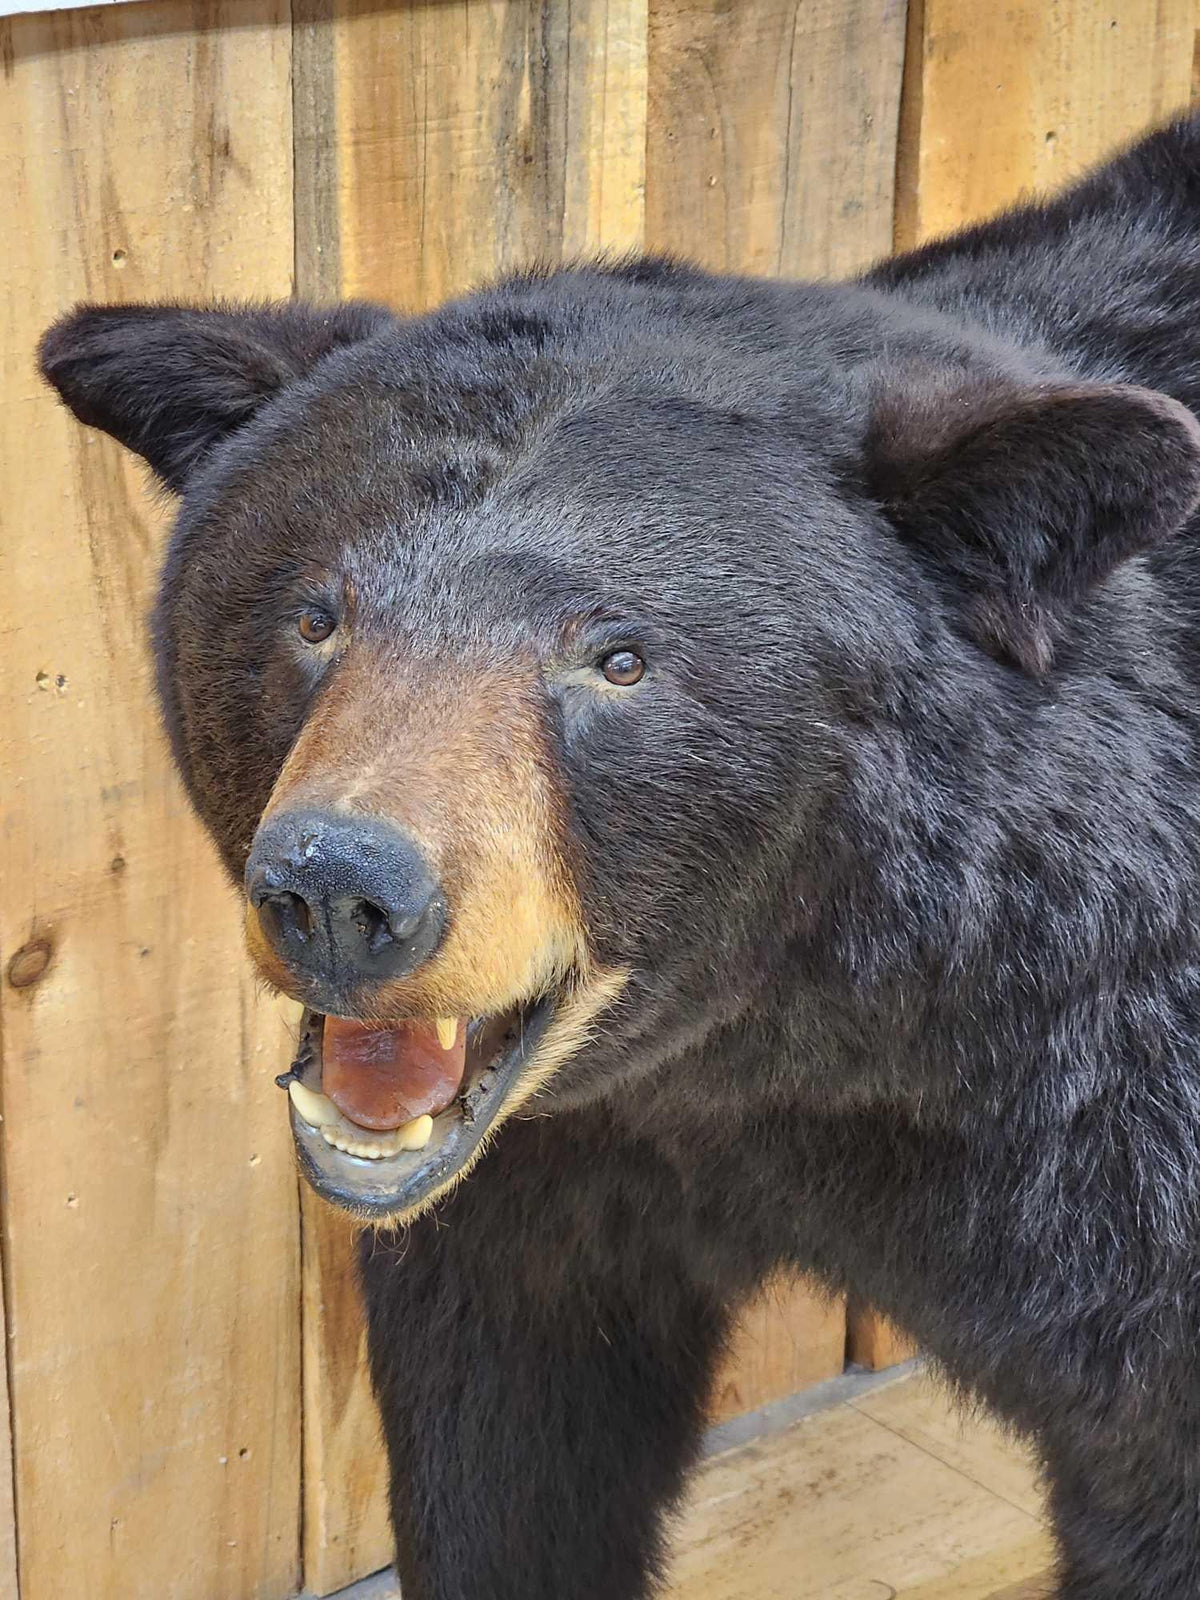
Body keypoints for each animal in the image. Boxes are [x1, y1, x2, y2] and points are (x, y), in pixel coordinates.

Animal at [37, 109, 1200, 1599]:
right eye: (313, 613)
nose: (340, 892)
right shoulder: (556, 1177)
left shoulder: (1121, 1172)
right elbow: (509, 1447)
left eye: (619, 659)